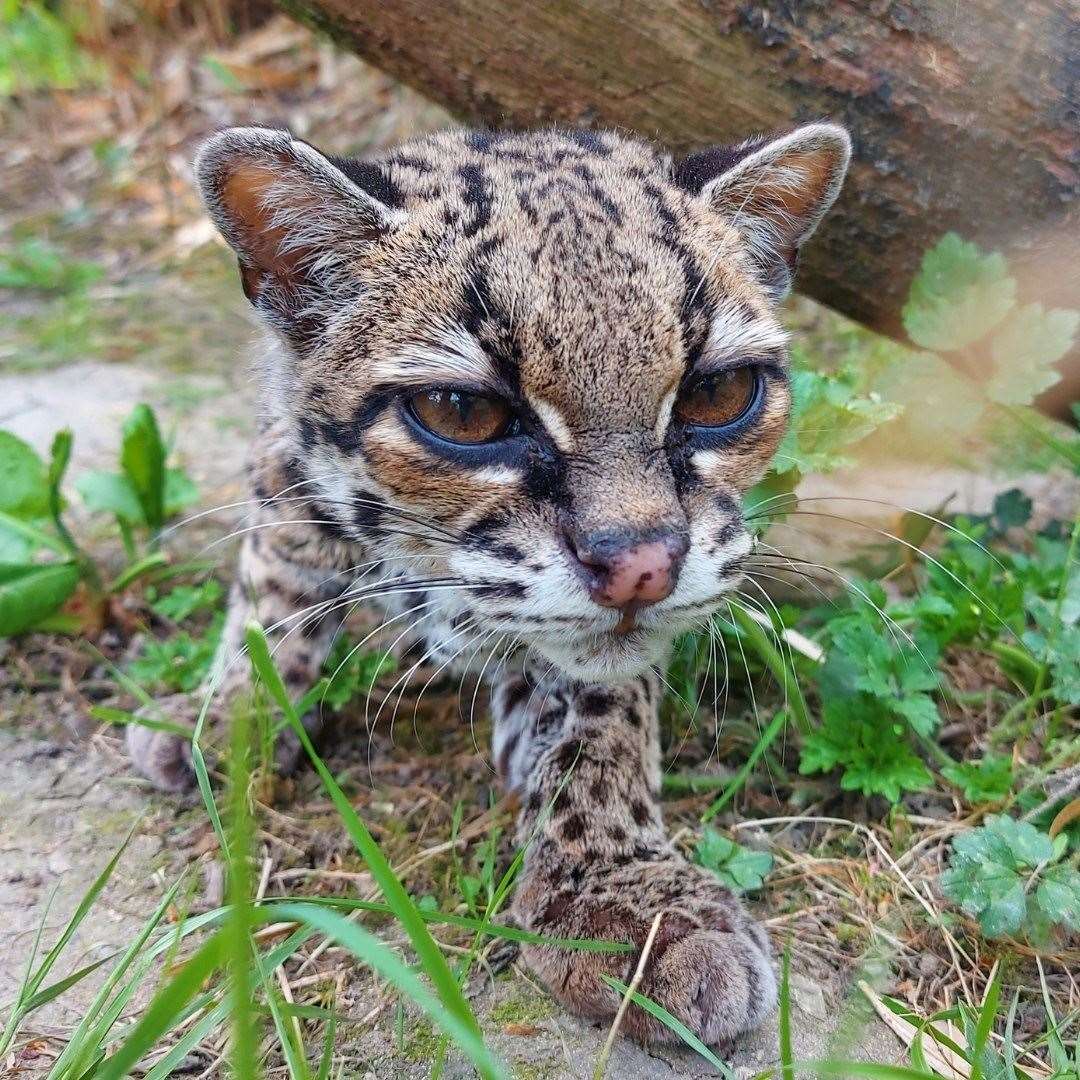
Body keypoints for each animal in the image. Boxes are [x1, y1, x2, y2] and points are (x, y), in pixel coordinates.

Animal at [128, 122, 851, 1049]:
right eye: (461, 413)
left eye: (719, 393)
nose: (642, 563)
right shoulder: (282, 465)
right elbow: (271, 594)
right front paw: (232, 716)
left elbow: (603, 715)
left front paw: (613, 889)